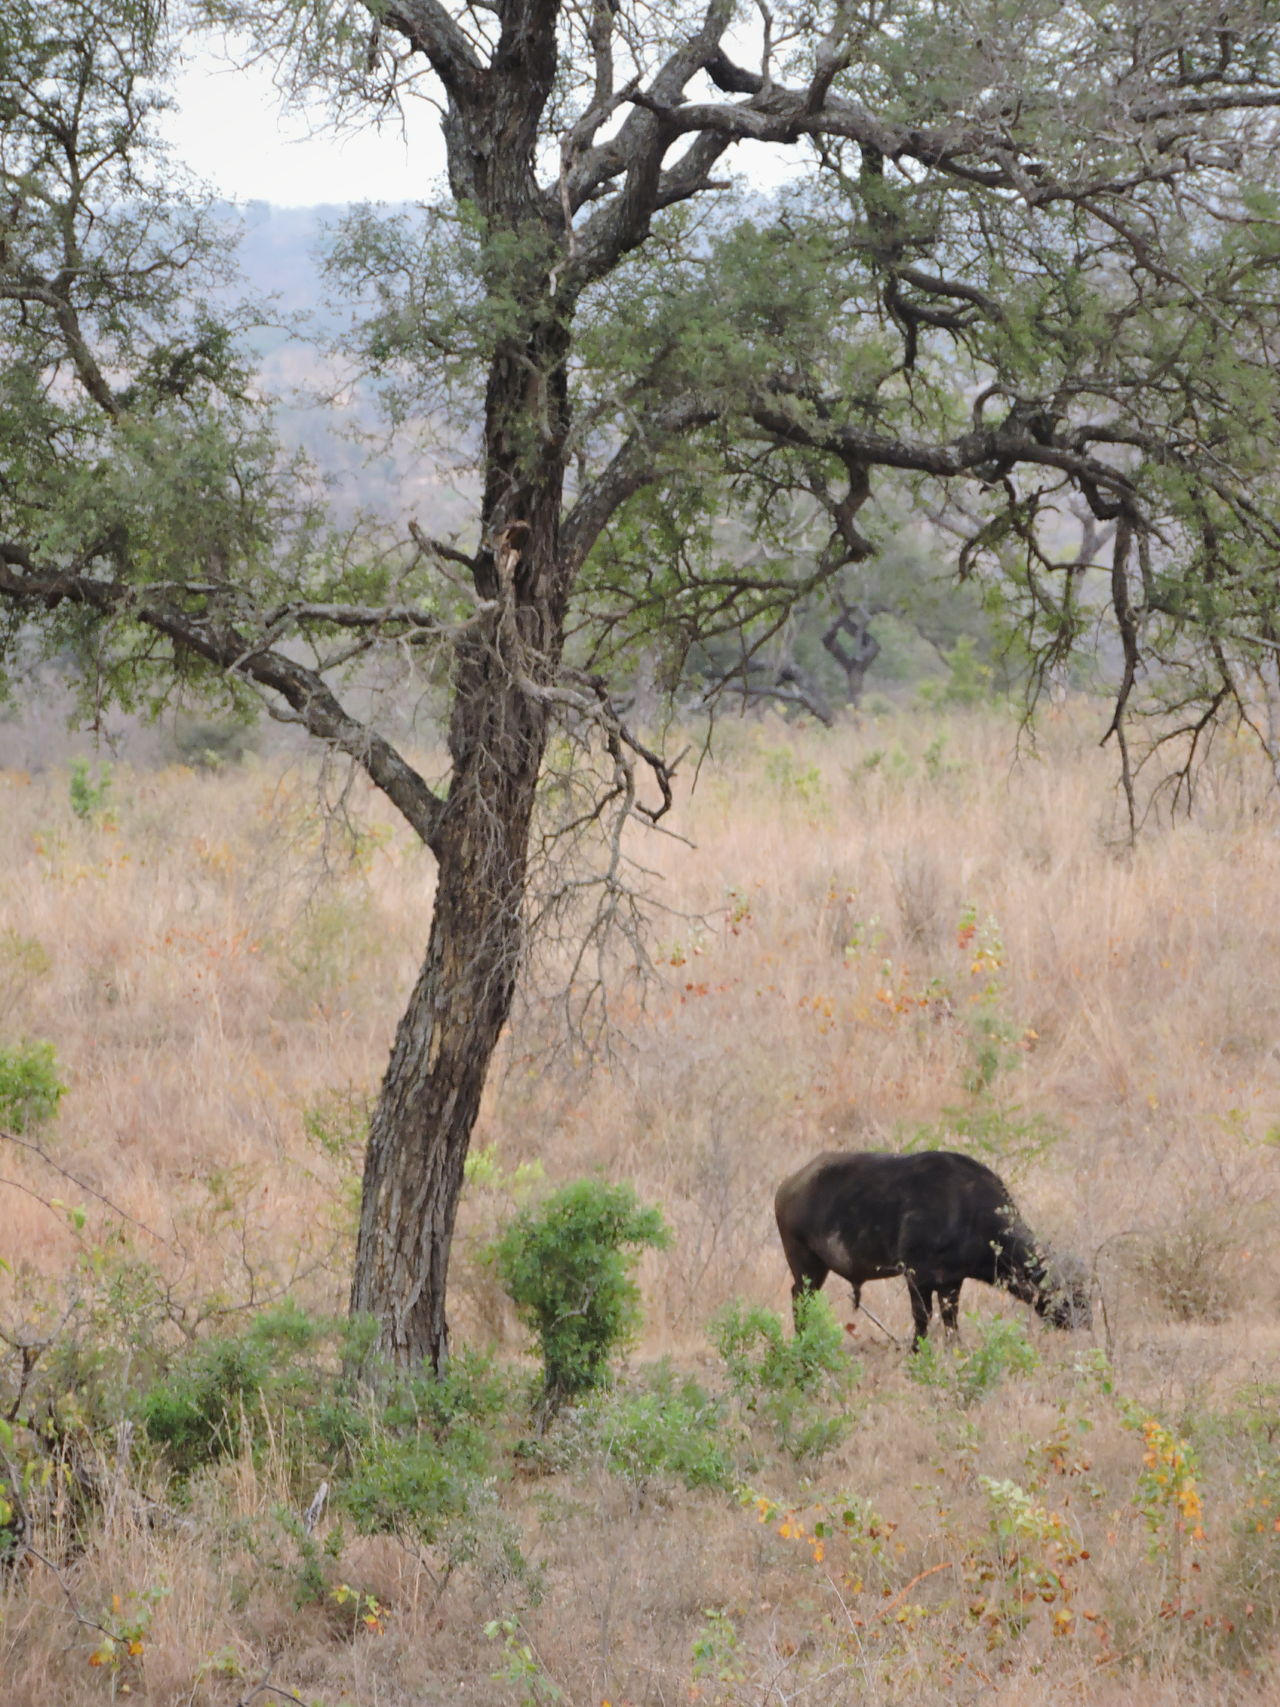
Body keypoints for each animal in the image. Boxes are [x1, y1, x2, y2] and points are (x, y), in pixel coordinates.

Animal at [771, 1147, 1092, 1345]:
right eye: (1071, 1296)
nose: (1086, 1322)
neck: (970, 1211)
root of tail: (788, 1186)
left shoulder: (951, 1283)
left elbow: (950, 1321)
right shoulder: (917, 1277)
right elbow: (922, 1319)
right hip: (806, 1265)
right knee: (799, 1300)